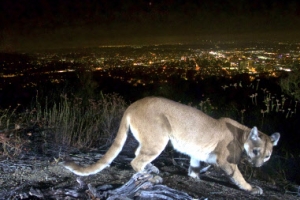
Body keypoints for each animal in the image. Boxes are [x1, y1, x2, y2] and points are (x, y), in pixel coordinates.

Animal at [62, 96, 278, 195]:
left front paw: (194, 176)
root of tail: (133, 104)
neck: (242, 135)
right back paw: (152, 175)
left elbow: (195, 164)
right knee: (136, 160)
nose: (259, 165)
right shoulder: (227, 161)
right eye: (256, 151)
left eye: (267, 155)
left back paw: (153, 168)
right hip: (159, 139)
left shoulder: (197, 152)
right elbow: (238, 176)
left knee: (137, 153)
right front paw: (251, 188)